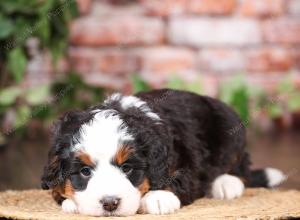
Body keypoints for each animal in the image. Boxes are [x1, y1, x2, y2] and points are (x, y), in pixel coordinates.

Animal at [41, 89, 284, 217]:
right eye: (84, 171)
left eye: (127, 168)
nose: (110, 203)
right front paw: (70, 202)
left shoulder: (186, 161)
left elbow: (176, 179)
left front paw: (159, 198)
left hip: (231, 129)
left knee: (240, 165)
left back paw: (226, 184)